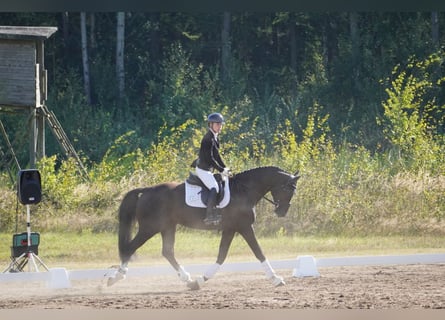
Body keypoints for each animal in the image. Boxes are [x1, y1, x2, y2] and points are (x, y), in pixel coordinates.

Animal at [107, 166, 298, 288]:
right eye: (288, 189)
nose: (282, 212)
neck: (244, 191)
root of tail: (146, 190)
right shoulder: (244, 227)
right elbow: (259, 252)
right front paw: (276, 279)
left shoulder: (231, 229)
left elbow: (221, 256)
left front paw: (200, 280)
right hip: (149, 228)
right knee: (130, 247)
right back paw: (115, 277)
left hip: (167, 226)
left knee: (167, 252)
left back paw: (187, 279)